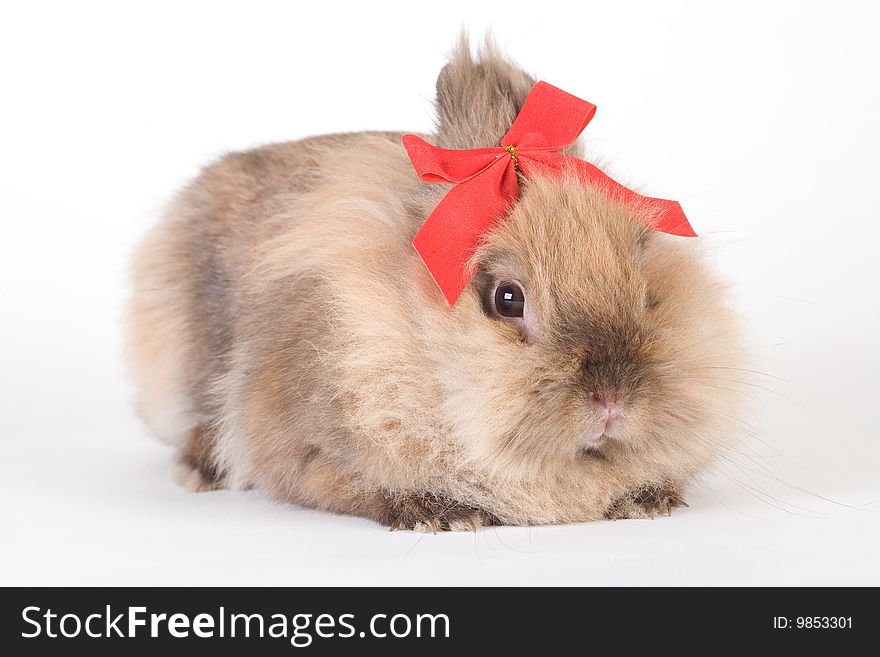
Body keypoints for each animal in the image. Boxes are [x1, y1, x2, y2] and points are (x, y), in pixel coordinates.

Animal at [127, 36, 744, 532]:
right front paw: (440, 516)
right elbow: (343, 482)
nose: (614, 399)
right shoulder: (302, 446)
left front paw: (649, 502)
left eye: (648, 292)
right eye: (507, 299)